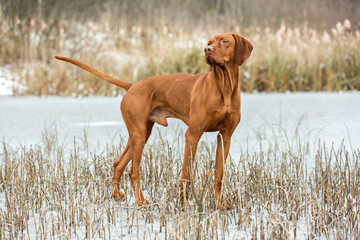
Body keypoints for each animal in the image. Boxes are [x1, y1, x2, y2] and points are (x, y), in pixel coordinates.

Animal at [55, 32, 253, 207]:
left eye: (225, 41)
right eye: (209, 42)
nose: (207, 49)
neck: (224, 86)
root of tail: (133, 85)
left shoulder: (224, 137)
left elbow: (219, 175)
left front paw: (220, 203)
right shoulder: (193, 135)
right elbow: (186, 174)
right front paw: (183, 204)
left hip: (141, 133)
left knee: (118, 164)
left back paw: (117, 195)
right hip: (139, 134)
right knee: (133, 171)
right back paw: (140, 202)